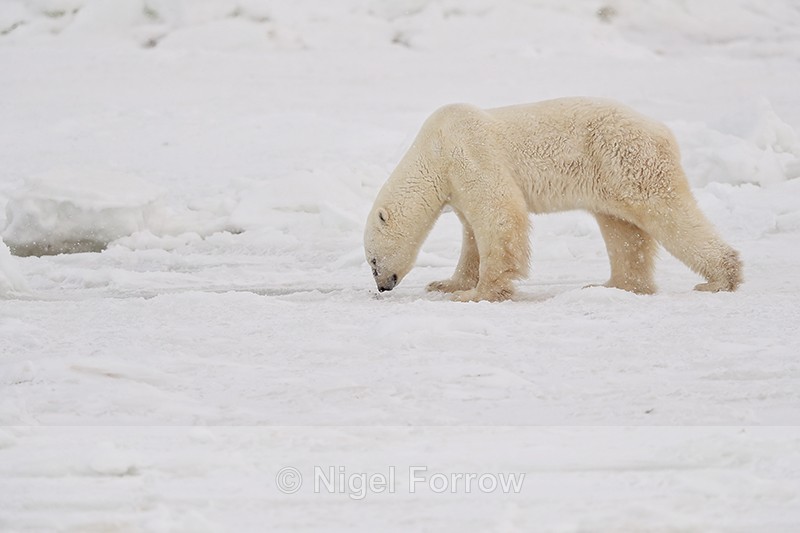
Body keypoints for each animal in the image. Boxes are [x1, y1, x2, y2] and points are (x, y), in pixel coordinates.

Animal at [364, 97, 743, 302]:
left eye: (372, 260)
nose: (383, 286)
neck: (433, 150)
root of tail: (664, 131)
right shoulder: (456, 183)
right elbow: (472, 233)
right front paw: (447, 283)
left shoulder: (469, 150)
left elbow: (500, 215)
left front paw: (478, 293)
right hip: (610, 176)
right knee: (622, 230)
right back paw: (615, 284)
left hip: (629, 159)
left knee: (667, 214)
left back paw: (720, 278)